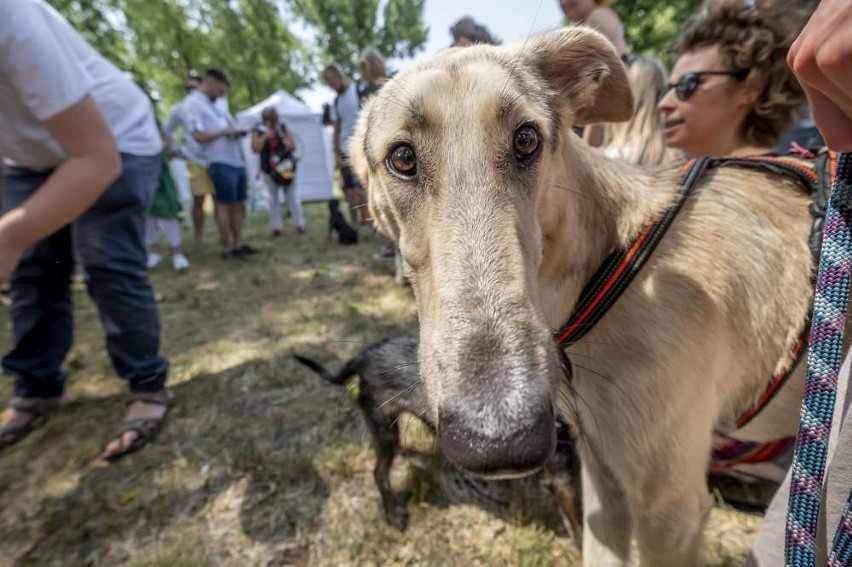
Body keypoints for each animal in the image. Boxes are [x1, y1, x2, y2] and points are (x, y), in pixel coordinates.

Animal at [290, 338, 584, 540]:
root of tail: (365, 354)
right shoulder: (562, 480)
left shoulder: (567, 478)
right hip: (385, 430)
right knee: (378, 472)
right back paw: (394, 513)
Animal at [352, 27, 812, 567]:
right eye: (402, 157)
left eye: (527, 138)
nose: (500, 439)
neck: (609, 263)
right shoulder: (602, 478)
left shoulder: (669, 509)